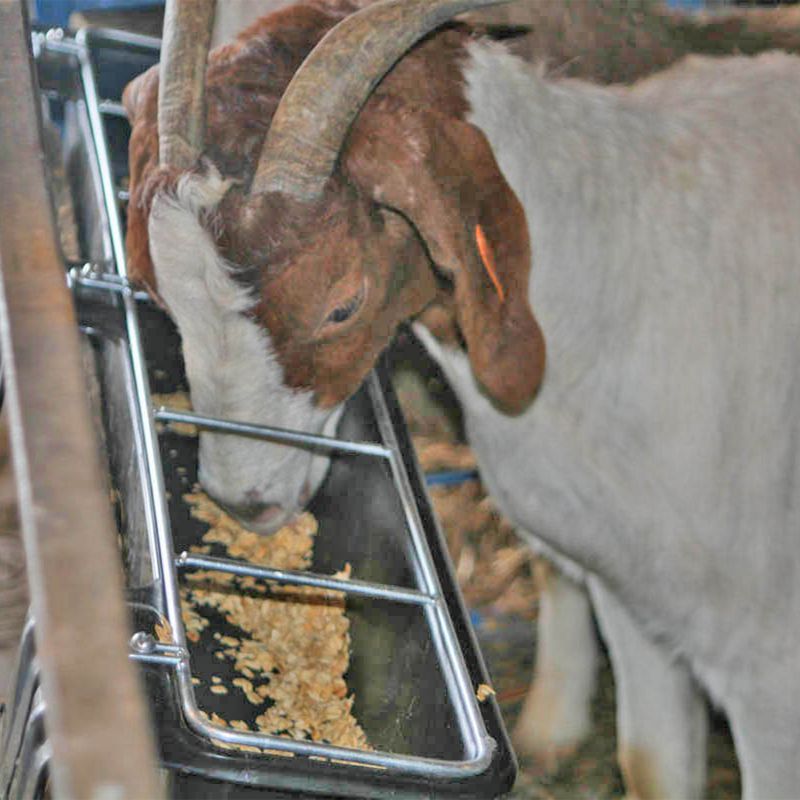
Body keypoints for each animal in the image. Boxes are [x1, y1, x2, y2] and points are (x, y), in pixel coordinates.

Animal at [124, 2, 800, 796]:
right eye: (156, 289)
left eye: (343, 304)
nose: (243, 501)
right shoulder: (637, 597)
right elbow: (651, 765)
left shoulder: (766, 668)